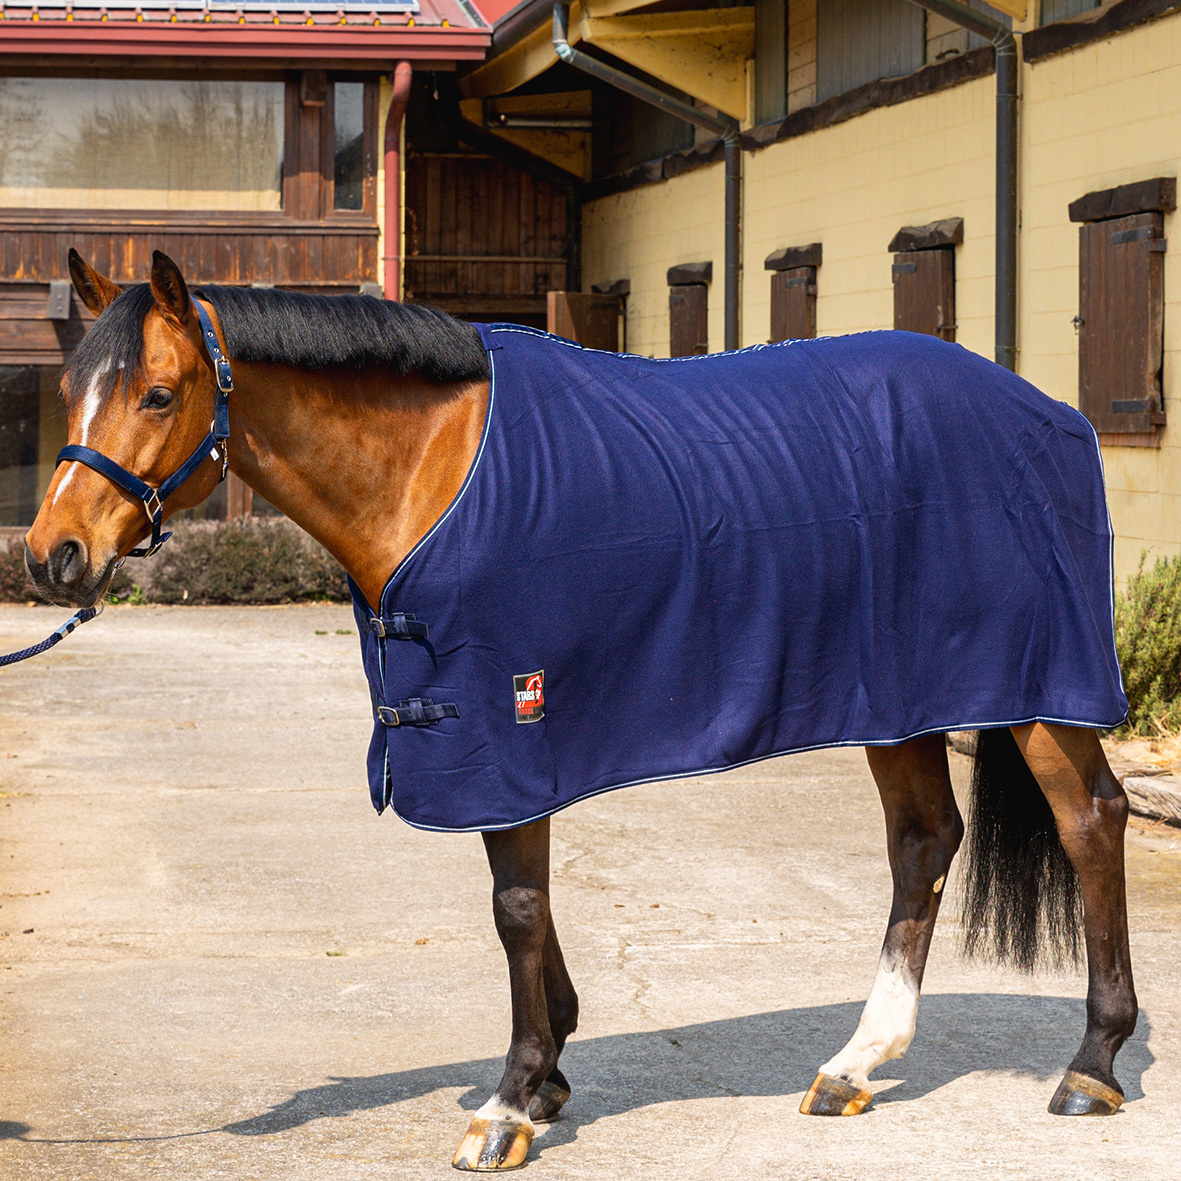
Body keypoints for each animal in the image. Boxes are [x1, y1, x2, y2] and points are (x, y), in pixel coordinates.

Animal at [23, 249, 1138, 1171]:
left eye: (158, 393)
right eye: (71, 390)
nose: (52, 555)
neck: (435, 468)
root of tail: (1045, 409)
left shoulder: (509, 722)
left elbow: (515, 906)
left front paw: (511, 1100)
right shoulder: (508, 744)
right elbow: (532, 901)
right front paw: (551, 1066)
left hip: (1035, 693)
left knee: (1088, 820)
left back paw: (1089, 1064)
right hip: (893, 697)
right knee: (922, 839)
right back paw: (855, 1062)